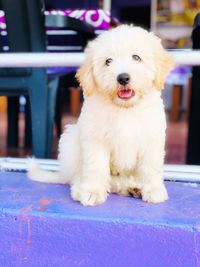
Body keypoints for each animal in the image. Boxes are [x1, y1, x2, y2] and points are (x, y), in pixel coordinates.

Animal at [28, 25, 173, 206]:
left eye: (136, 57)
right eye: (108, 61)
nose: (123, 78)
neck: (124, 109)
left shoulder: (152, 138)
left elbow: (151, 167)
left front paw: (153, 190)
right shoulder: (95, 139)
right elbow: (95, 166)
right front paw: (92, 192)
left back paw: (132, 187)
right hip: (70, 140)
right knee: (78, 176)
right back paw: (81, 189)